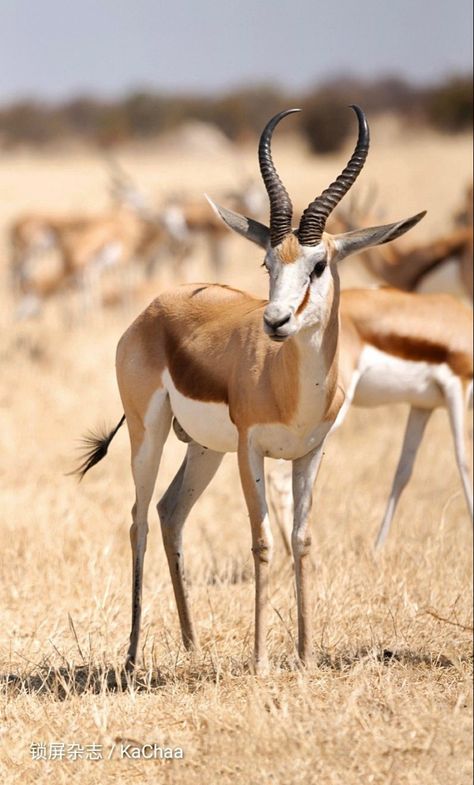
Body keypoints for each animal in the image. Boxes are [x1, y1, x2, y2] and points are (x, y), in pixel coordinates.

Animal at [75, 105, 426, 672]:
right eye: (267, 262)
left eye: (318, 265)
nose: (276, 321)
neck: (291, 387)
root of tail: (154, 307)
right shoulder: (250, 450)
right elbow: (262, 540)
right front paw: (261, 660)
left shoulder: (310, 453)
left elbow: (301, 540)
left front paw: (305, 655)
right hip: (149, 436)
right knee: (138, 519)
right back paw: (130, 656)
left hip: (202, 449)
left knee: (170, 512)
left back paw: (192, 644)